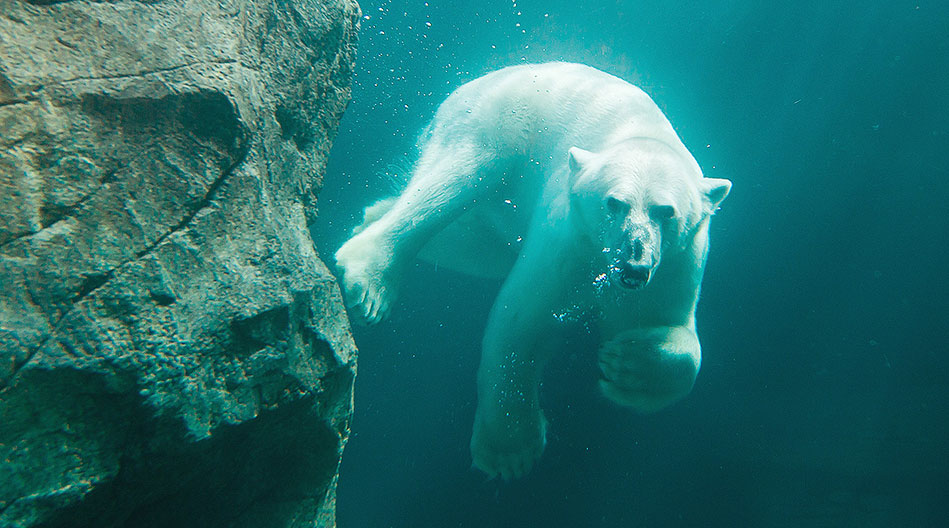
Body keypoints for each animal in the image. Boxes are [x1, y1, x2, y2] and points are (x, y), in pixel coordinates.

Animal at [336, 60, 732, 478]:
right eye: (614, 203)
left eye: (665, 211)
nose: (633, 263)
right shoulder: (568, 240)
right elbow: (521, 319)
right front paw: (510, 451)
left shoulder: (674, 265)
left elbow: (672, 332)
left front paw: (626, 363)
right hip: (495, 126)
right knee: (449, 185)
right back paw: (369, 278)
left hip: (495, 223)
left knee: (467, 244)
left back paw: (369, 216)